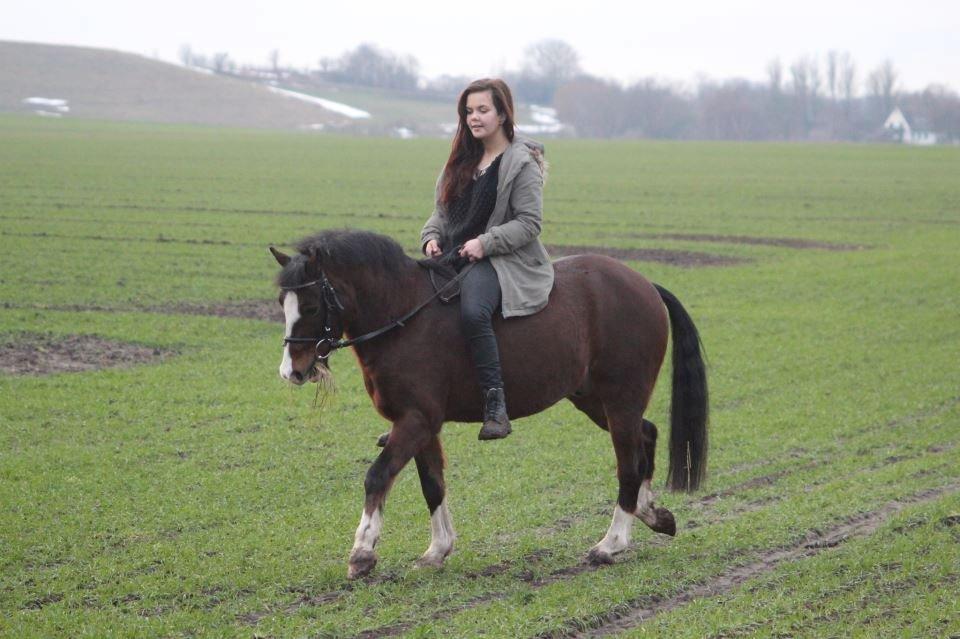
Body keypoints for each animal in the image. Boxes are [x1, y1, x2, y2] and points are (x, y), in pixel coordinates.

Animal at [270, 231, 704, 580]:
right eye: (281, 302)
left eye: (311, 306)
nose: (292, 371)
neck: (403, 318)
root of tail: (643, 283)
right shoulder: (422, 424)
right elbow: (432, 484)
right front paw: (437, 550)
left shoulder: (414, 421)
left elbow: (377, 477)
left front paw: (361, 554)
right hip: (595, 400)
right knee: (646, 435)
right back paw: (653, 514)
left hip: (620, 399)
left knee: (629, 463)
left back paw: (611, 544)